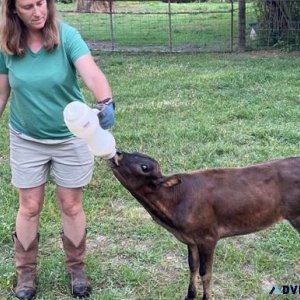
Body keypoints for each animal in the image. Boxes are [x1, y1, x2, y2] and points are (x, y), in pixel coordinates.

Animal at [109, 151, 300, 298]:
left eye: (144, 167)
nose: (117, 153)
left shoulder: (208, 237)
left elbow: (205, 273)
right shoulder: (191, 239)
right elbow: (192, 266)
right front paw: (189, 295)